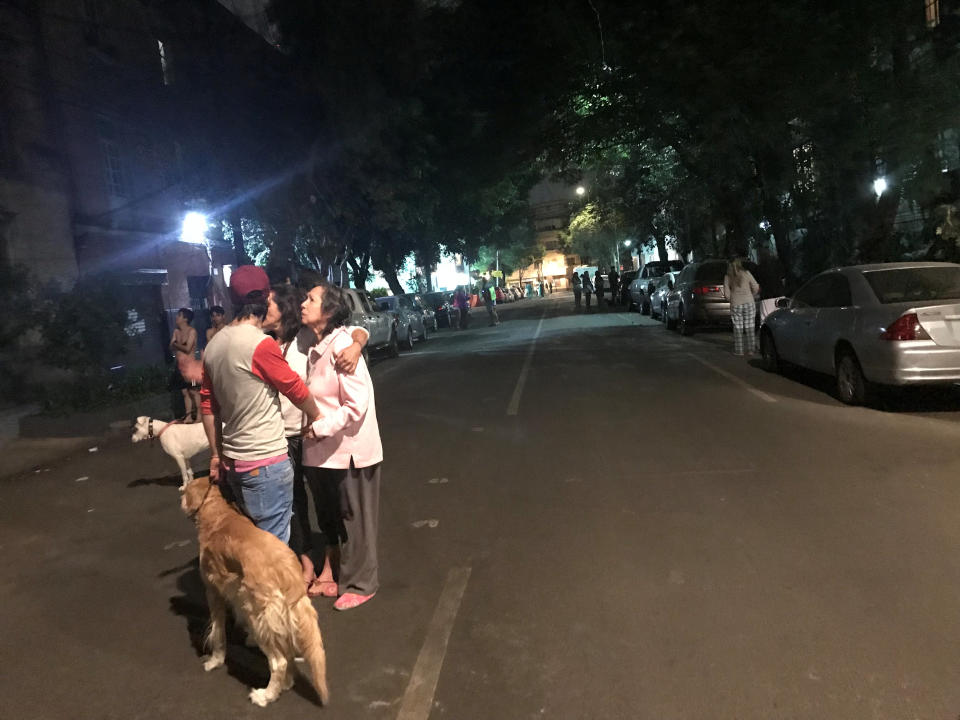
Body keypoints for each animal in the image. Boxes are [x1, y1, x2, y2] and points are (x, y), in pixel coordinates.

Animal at [180, 476, 330, 704]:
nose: (180, 495)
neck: (219, 514)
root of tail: (287, 570)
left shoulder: (213, 592)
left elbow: (218, 634)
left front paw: (214, 661)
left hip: (259, 616)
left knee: (279, 662)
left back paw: (265, 695)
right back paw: (285, 683)